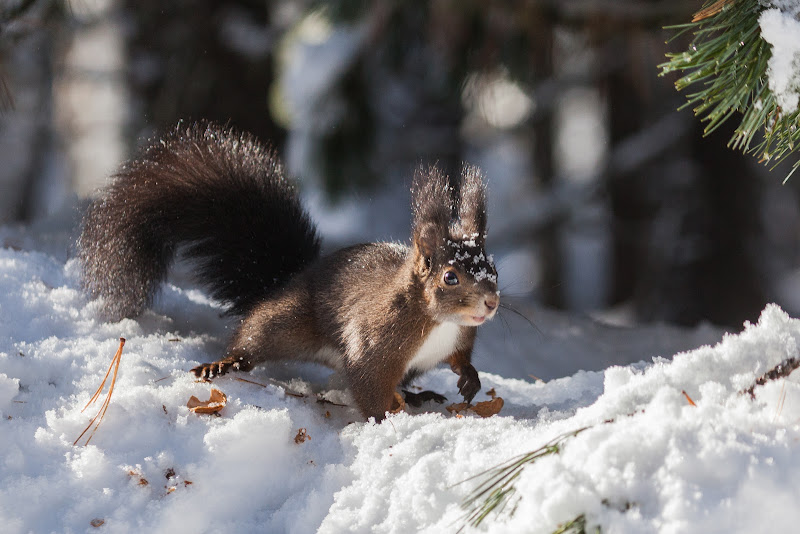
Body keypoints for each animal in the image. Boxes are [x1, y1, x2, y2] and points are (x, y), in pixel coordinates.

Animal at [76, 121, 500, 422]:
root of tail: (291, 279)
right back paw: (224, 363)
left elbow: (460, 358)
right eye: (450, 277)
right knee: (253, 337)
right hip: (287, 319)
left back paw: (419, 393)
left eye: (493, 267)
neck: (439, 321)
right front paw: (384, 421)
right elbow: (367, 383)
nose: (491, 303)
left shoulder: (458, 339)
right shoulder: (377, 338)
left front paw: (470, 378)